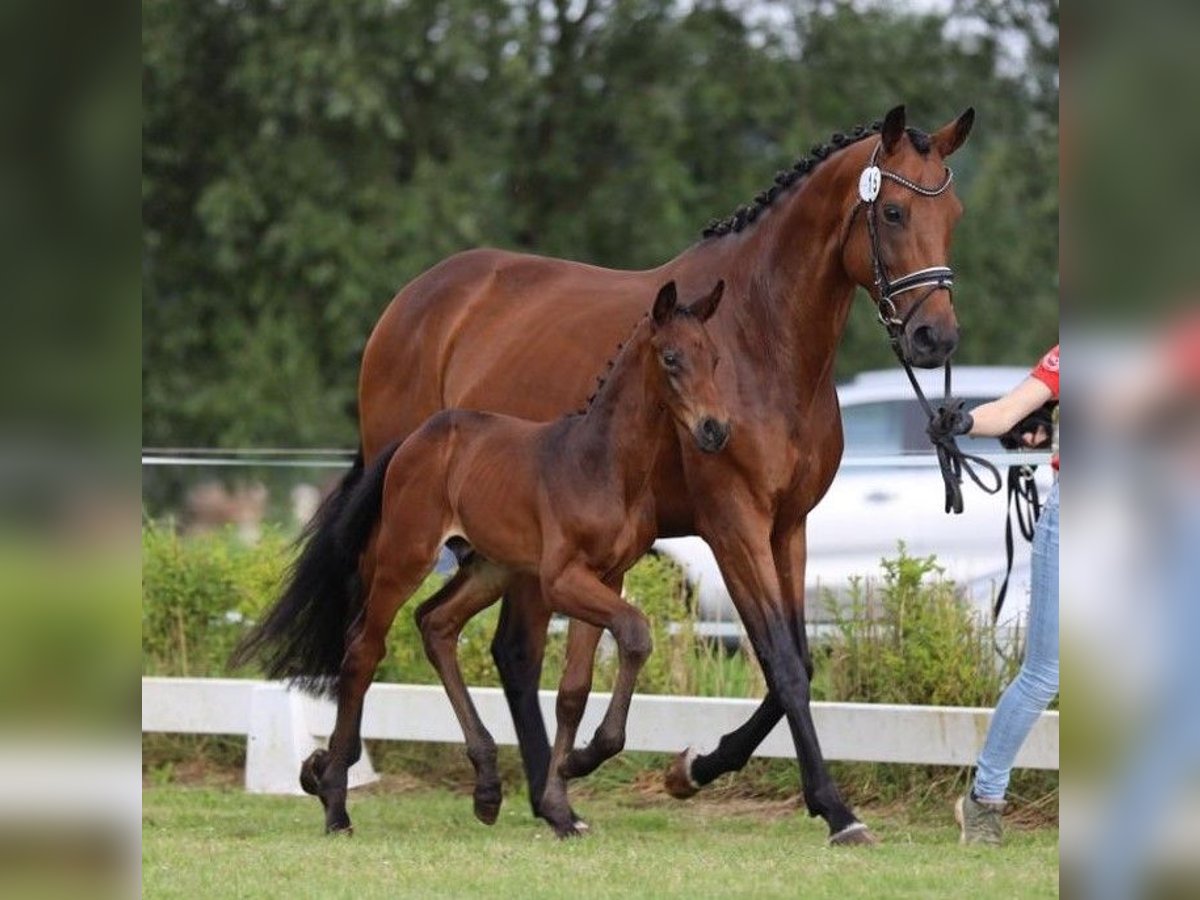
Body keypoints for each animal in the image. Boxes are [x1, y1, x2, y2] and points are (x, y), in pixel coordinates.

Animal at [304, 283, 724, 840]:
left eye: (715, 357)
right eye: (671, 358)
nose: (716, 430)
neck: (605, 466)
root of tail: (413, 440)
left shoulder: (608, 577)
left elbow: (573, 690)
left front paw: (563, 804)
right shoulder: (561, 579)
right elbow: (635, 632)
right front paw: (580, 763)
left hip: (489, 569)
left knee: (435, 623)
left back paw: (485, 788)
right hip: (404, 557)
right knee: (362, 651)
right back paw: (335, 805)